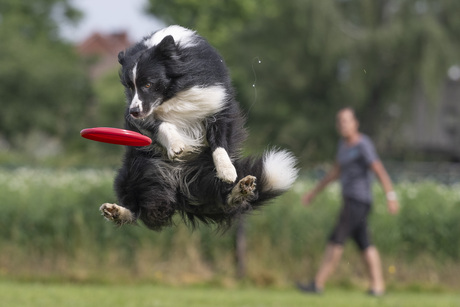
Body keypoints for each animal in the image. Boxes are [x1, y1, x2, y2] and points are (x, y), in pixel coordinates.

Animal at [99, 25, 298, 231]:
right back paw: (117, 212)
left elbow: (220, 140)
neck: (174, 92)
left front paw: (227, 171)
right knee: (138, 205)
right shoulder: (146, 118)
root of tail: (181, 192)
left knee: (223, 200)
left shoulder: (216, 101)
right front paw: (177, 146)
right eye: (130, 86)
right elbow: (162, 124)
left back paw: (240, 188)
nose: (134, 112)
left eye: (148, 84)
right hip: (137, 169)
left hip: (205, 175)